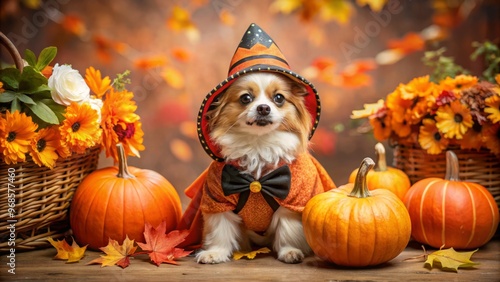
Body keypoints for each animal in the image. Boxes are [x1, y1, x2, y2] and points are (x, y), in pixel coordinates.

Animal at [195, 71, 312, 264]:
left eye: (279, 98)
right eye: (246, 98)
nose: (263, 108)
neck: (258, 145)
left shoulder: (292, 201)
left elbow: (288, 231)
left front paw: (290, 251)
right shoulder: (217, 201)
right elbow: (221, 231)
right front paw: (215, 253)